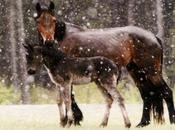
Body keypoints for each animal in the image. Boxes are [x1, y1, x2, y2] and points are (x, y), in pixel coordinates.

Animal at [33, 1, 175, 127]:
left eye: (53, 20)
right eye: (38, 21)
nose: (49, 42)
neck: (63, 37)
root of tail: (154, 37)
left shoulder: (68, 75)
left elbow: (70, 96)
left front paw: (76, 119)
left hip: (151, 71)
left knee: (166, 91)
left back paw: (171, 121)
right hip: (137, 72)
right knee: (147, 94)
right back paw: (142, 123)